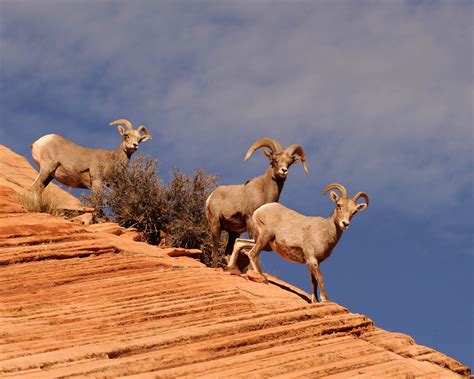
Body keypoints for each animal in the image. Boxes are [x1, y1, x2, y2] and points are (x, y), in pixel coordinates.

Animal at [206, 137, 310, 268]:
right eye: (274, 160)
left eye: (289, 163)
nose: (284, 171)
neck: (265, 191)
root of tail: (211, 196)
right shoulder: (250, 221)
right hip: (215, 225)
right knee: (214, 252)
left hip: (233, 233)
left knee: (227, 253)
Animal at [228, 183, 368, 304]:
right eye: (338, 205)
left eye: (354, 212)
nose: (345, 224)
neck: (325, 232)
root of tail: (260, 210)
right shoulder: (312, 260)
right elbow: (320, 279)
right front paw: (325, 300)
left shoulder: (313, 263)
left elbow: (314, 282)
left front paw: (315, 301)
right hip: (265, 237)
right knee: (253, 254)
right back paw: (262, 278)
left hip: (265, 244)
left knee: (239, 243)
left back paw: (231, 268)